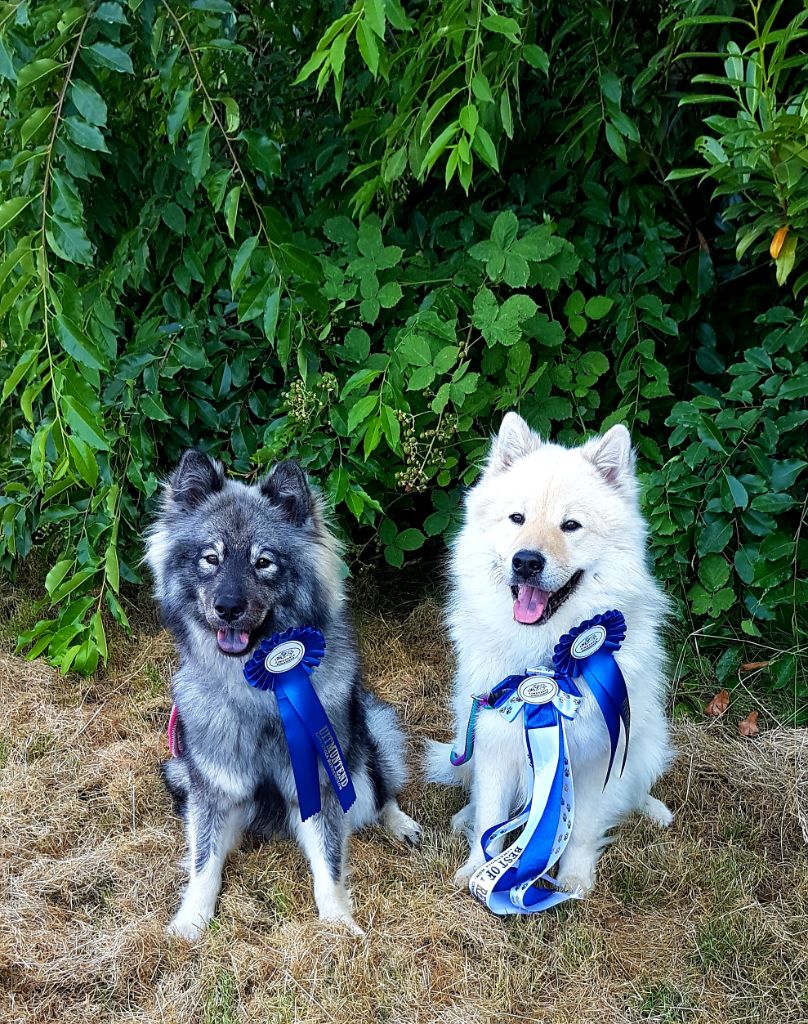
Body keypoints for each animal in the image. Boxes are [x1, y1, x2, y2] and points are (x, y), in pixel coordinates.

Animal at [146, 452, 421, 937]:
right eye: (211, 558)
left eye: (264, 562)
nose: (228, 607)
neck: (257, 691)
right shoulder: (214, 788)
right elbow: (203, 862)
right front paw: (191, 921)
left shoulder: (322, 780)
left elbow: (329, 863)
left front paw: (337, 922)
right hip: (180, 768)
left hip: (362, 748)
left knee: (379, 792)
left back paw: (400, 823)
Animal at [428, 411, 675, 892]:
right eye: (517, 518)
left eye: (571, 525)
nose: (526, 561)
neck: (542, 657)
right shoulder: (494, 738)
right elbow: (490, 814)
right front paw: (478, 871)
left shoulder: (597, 754)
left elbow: (582, 828)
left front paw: (574, 879)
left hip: (649, 738)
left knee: (636, 785)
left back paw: (653, 809)